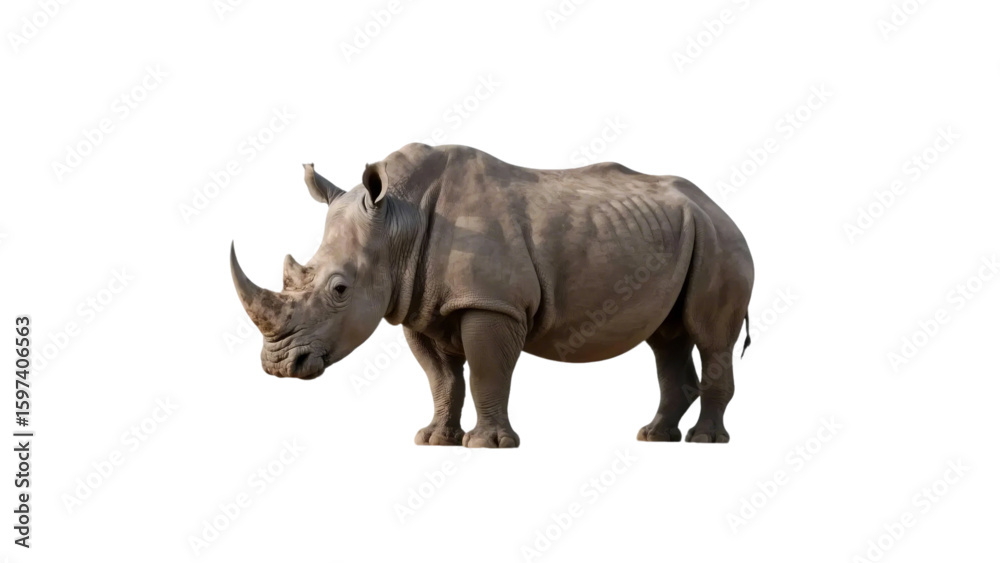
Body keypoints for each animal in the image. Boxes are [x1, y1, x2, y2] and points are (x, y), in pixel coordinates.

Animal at [231, 143, 754, 446]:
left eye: (339, 289)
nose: (278, 365)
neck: (399, 221)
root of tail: (719, 206)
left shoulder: (491, 302)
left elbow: (486, 370)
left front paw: (487, 445)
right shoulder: (417, 304)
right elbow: (441, 379)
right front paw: (433, 440)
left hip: (720, 240)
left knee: (711, 338)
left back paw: (705, 441)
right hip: (685, 233)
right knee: (667, 339)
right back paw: (654, 437)